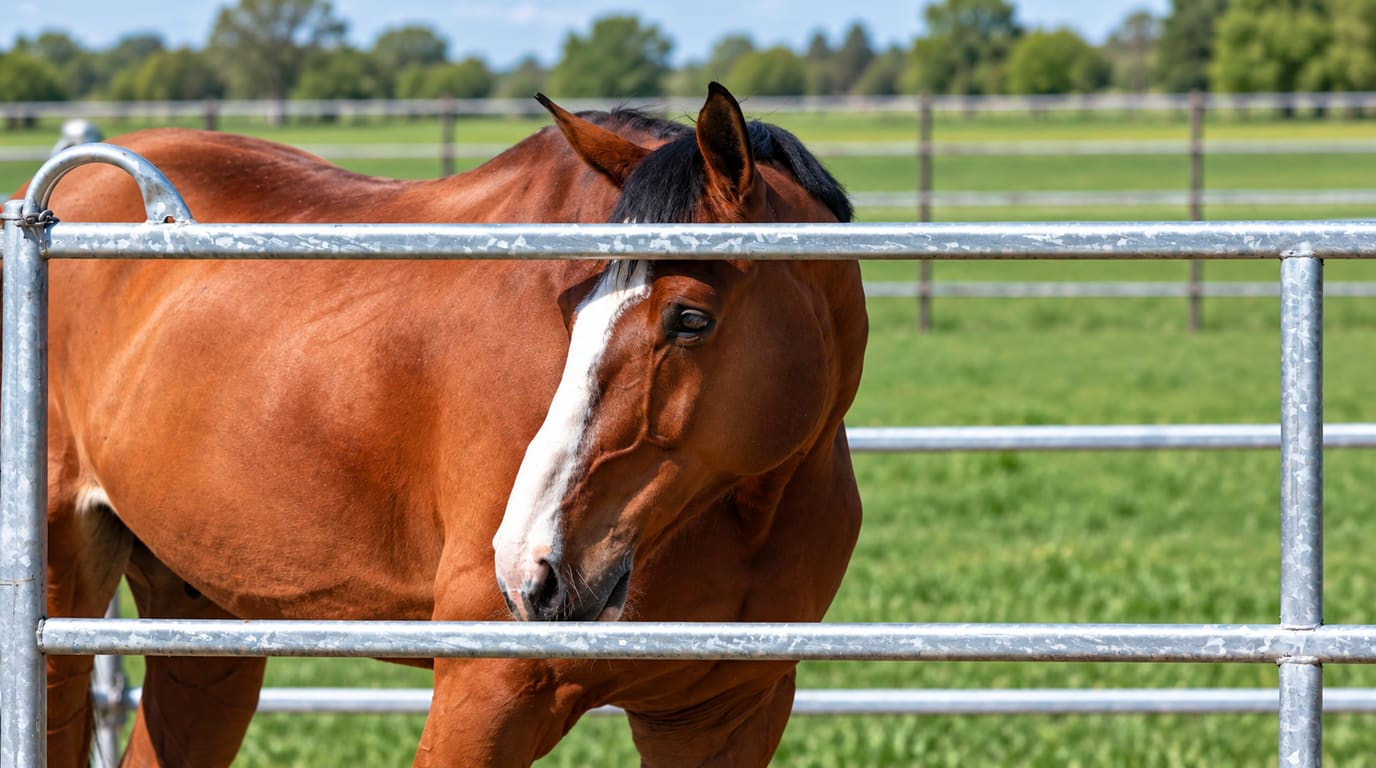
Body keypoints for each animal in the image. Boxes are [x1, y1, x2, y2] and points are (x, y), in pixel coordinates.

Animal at [22, 82, 867, 767]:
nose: (531, 569)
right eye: (573, 306)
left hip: (203, 621)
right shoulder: (485, 694)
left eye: (691, 317)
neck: (749, 511)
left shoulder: (721, 716)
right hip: (63, 603)